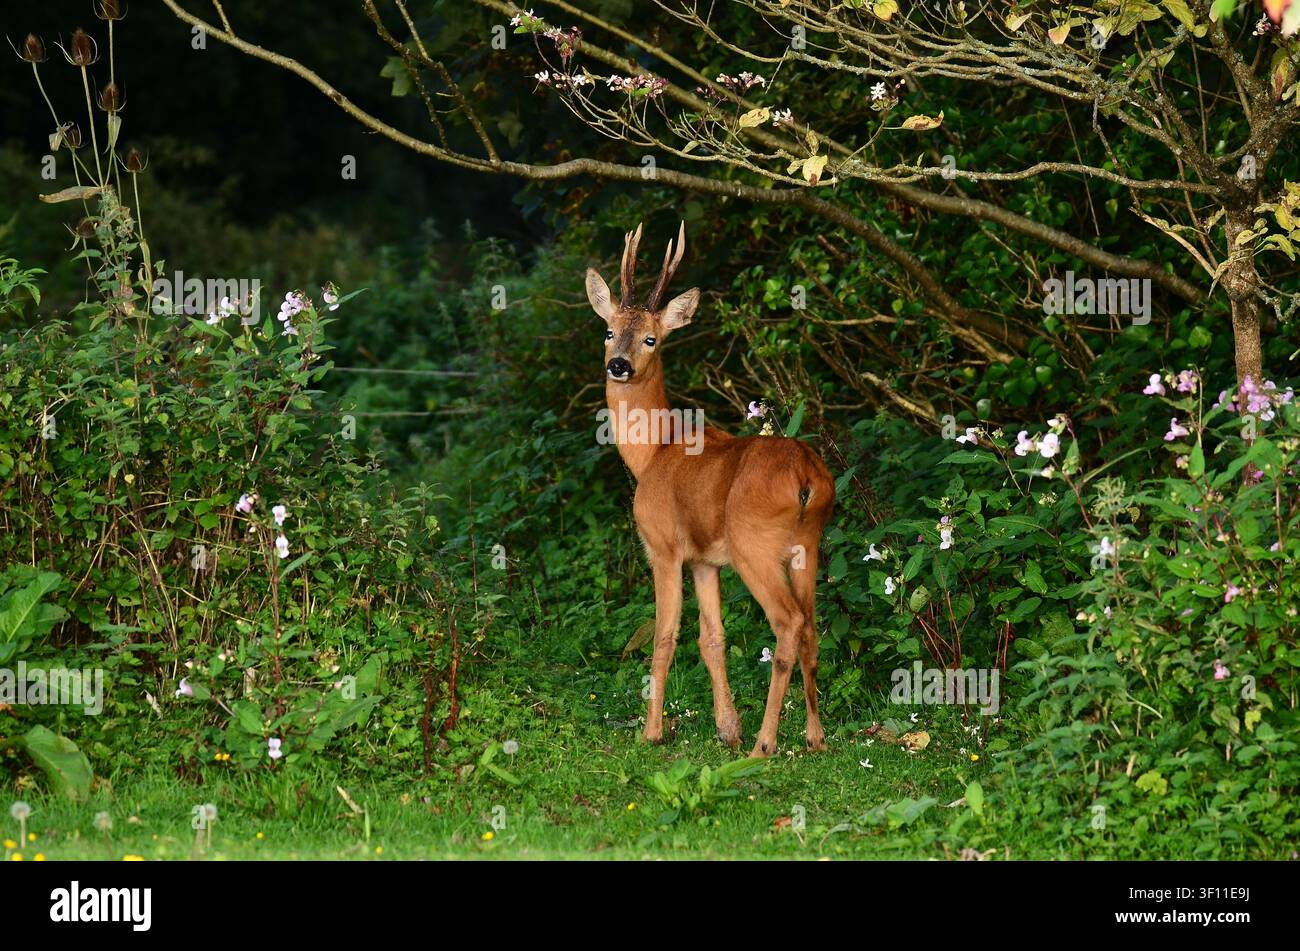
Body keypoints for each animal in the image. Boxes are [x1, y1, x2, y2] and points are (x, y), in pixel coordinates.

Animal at [584, 221, 836, 758]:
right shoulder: (705, 560)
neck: (653, 452)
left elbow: (664, 637)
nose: (618, 365)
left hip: (753, 544)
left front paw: (651, 732)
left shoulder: (663, 545)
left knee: (788, 624)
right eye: (610, 330)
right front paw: (727, 728)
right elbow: (712, 638)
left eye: (652, 338)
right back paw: (815, 737)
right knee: (811, 626)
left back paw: (765, 745)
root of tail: (807, 477)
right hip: (807, 545)